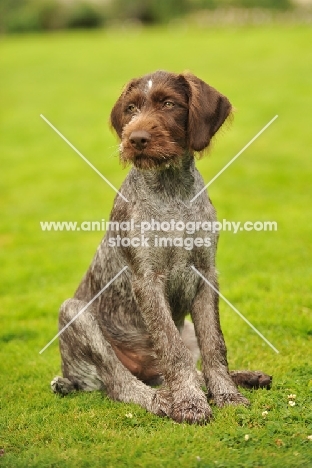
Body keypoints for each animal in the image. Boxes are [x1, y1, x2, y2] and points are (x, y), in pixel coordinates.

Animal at [51, 70, 270, 424]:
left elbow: (214, 345)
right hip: (74, 313)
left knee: (190, 367)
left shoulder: (206, 274)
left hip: (186, 328)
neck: (171, 193)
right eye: (130, 108)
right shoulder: (147, 281)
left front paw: (227, 395)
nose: (135, 139)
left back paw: (245, 377)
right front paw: (190, 403)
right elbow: (172, 349)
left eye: (169, 104)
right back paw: (162, 401)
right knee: (122, 385)